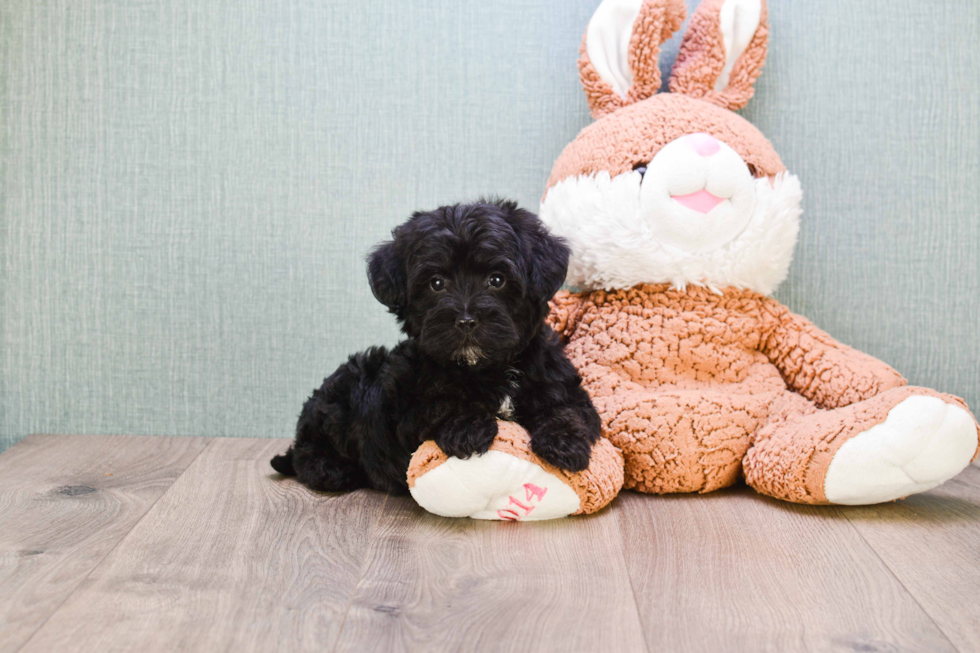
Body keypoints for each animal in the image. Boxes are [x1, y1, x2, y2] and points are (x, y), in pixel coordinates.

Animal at [272, 199, 600, 494]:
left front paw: (565, 441)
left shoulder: (560, 384)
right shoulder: (402, 410)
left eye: (497, 280)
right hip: (342, 395)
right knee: (307, 451)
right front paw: (467, 427)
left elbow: (567, 408)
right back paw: (331, 468)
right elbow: (439, 404)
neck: (485, 367)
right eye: (437, 283)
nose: (466, 321)